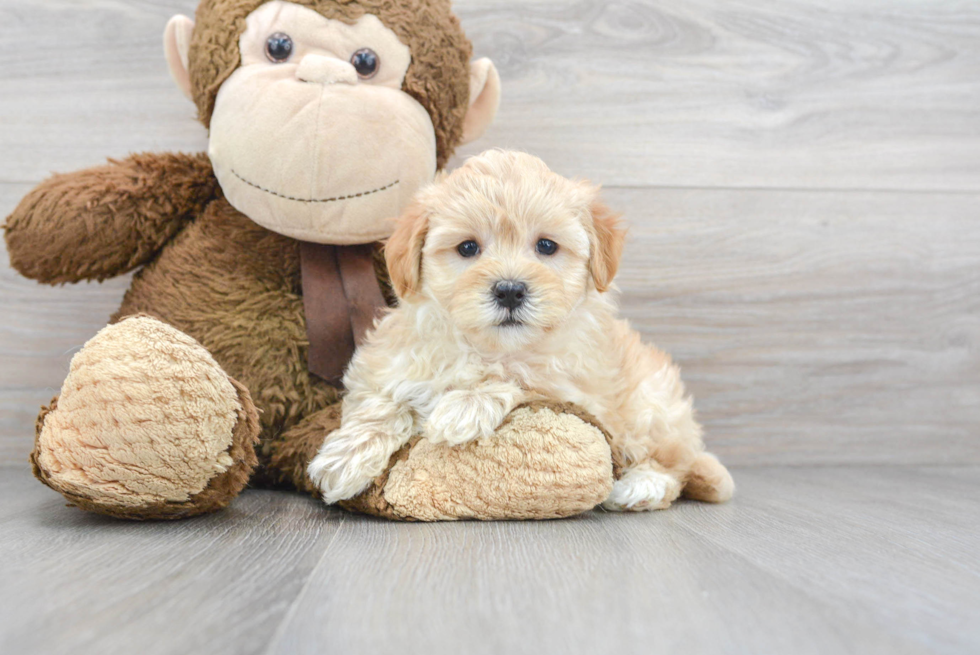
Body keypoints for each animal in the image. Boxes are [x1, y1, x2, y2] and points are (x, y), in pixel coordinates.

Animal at [310, 150, 732, 512]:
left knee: (673, 465)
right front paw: (345, 457)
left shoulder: (573, 385)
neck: (486, 347)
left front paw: (463, 406)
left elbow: (519, 375)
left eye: (546, 246)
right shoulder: (384, 364)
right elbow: (384, 401)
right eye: (467, 248)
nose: (510, 290)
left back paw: (641, 487)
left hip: (650, 404)